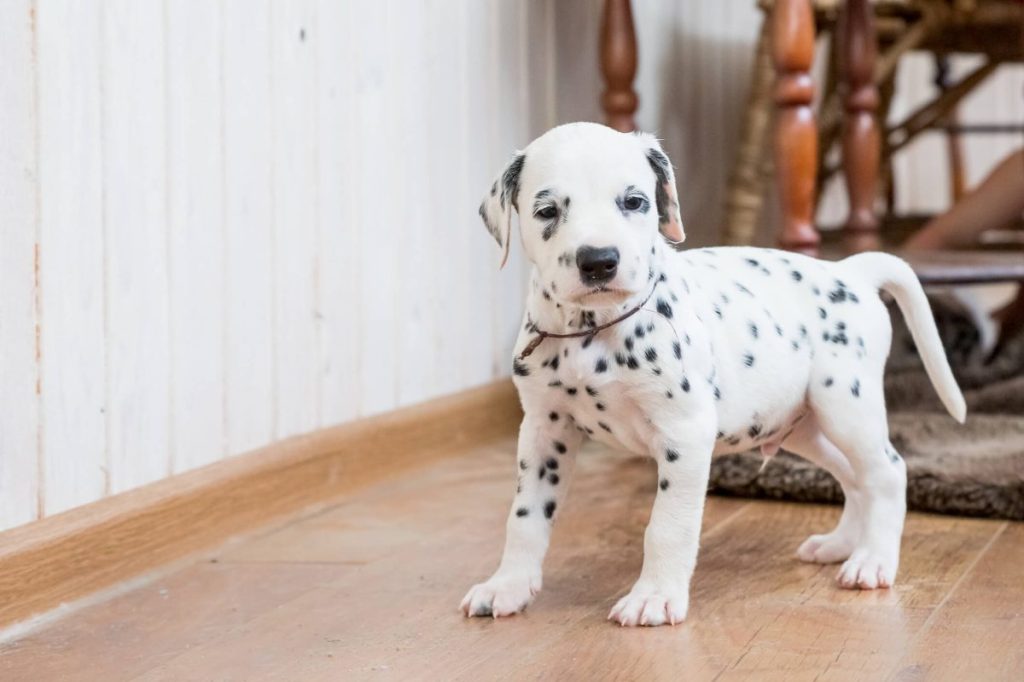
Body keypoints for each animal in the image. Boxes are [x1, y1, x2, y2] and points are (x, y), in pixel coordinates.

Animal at [460, 123, 962, 626]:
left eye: (634, 202)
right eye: (547, 211)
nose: (599, 261)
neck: (595, 329)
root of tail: (850, 271)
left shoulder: (684, 435)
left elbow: (667, 526)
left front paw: (655, 596)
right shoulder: (545, 432)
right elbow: (525, 517)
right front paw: (507, 586)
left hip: (846, 407)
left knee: (887, 473)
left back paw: (872, 561)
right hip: (805, 427)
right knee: (854, 478)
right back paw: (840, 545)